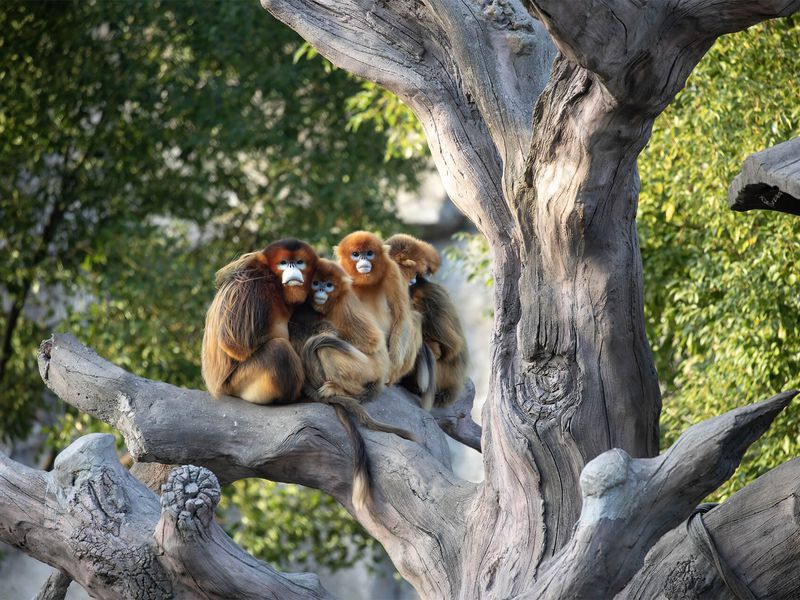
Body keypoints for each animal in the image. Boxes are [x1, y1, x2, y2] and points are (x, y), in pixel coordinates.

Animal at [202, 238, 318, 404]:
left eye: (299, 262)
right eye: (283, 263)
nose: (292, 267)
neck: (275, 285)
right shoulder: (252, 286)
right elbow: (235, 344)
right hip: (238, 383)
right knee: (279, 350)